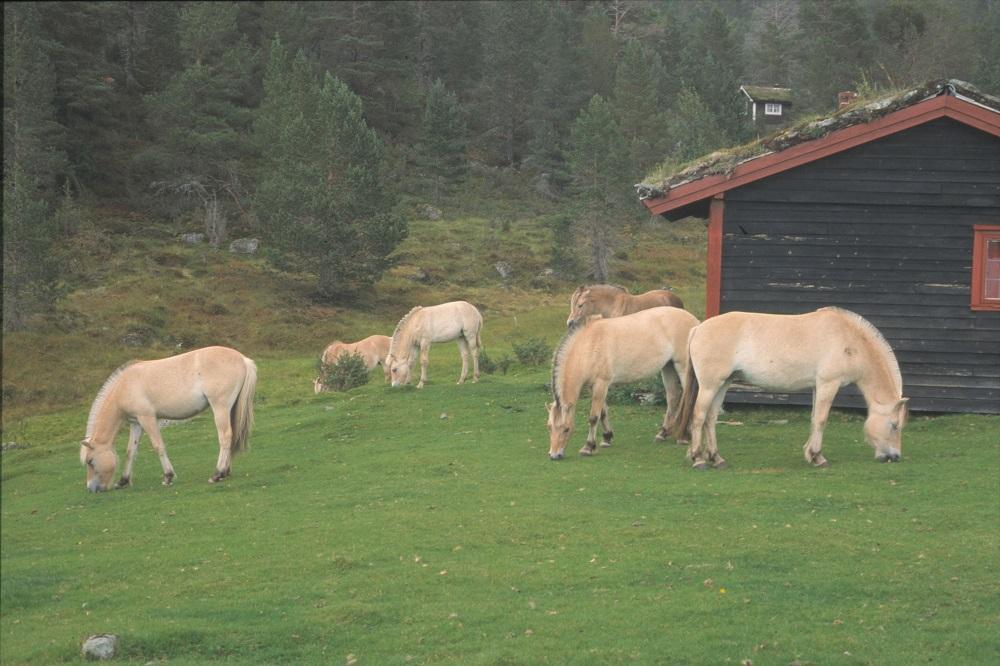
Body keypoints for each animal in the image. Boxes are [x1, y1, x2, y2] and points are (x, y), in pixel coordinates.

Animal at [79, 344, 258, 490]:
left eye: (90, 461)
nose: (91, 488)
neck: (126, 386)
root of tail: (243, 359)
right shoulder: (136, 423)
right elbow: (131, 451)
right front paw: (123, 480)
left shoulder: (148, 419)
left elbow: (158, 446)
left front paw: (168, 477)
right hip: (230, 409)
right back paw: (225, 472)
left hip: (220, 407)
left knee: (225, 437)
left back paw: (217, 474)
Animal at [544, 304, 700, 456]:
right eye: (549, 427)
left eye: (566, 428)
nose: (554, 455)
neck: (589, 345)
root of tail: (695, 322)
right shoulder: (595, 386)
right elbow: (603, 413)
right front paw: (607, 437)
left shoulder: (601, 384)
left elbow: (594, 416)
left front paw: (588, 447)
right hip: (668, 367)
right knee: (673, 397)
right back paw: (662, 433)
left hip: (683, 368)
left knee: (690, 399)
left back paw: (685, 436)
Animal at [672, 306, 908, 466]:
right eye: (894, 425)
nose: (895, 456)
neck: (848, 341)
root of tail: (698, 328)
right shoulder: (828, 384)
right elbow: (821, 420)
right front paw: (818, 457)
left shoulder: (817, 387)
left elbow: (814, 419)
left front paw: (810, 454)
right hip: (710, 386)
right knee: (699, 416)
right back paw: (698, 459)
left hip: (723, 383)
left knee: (711, 418)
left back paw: (717, 458)